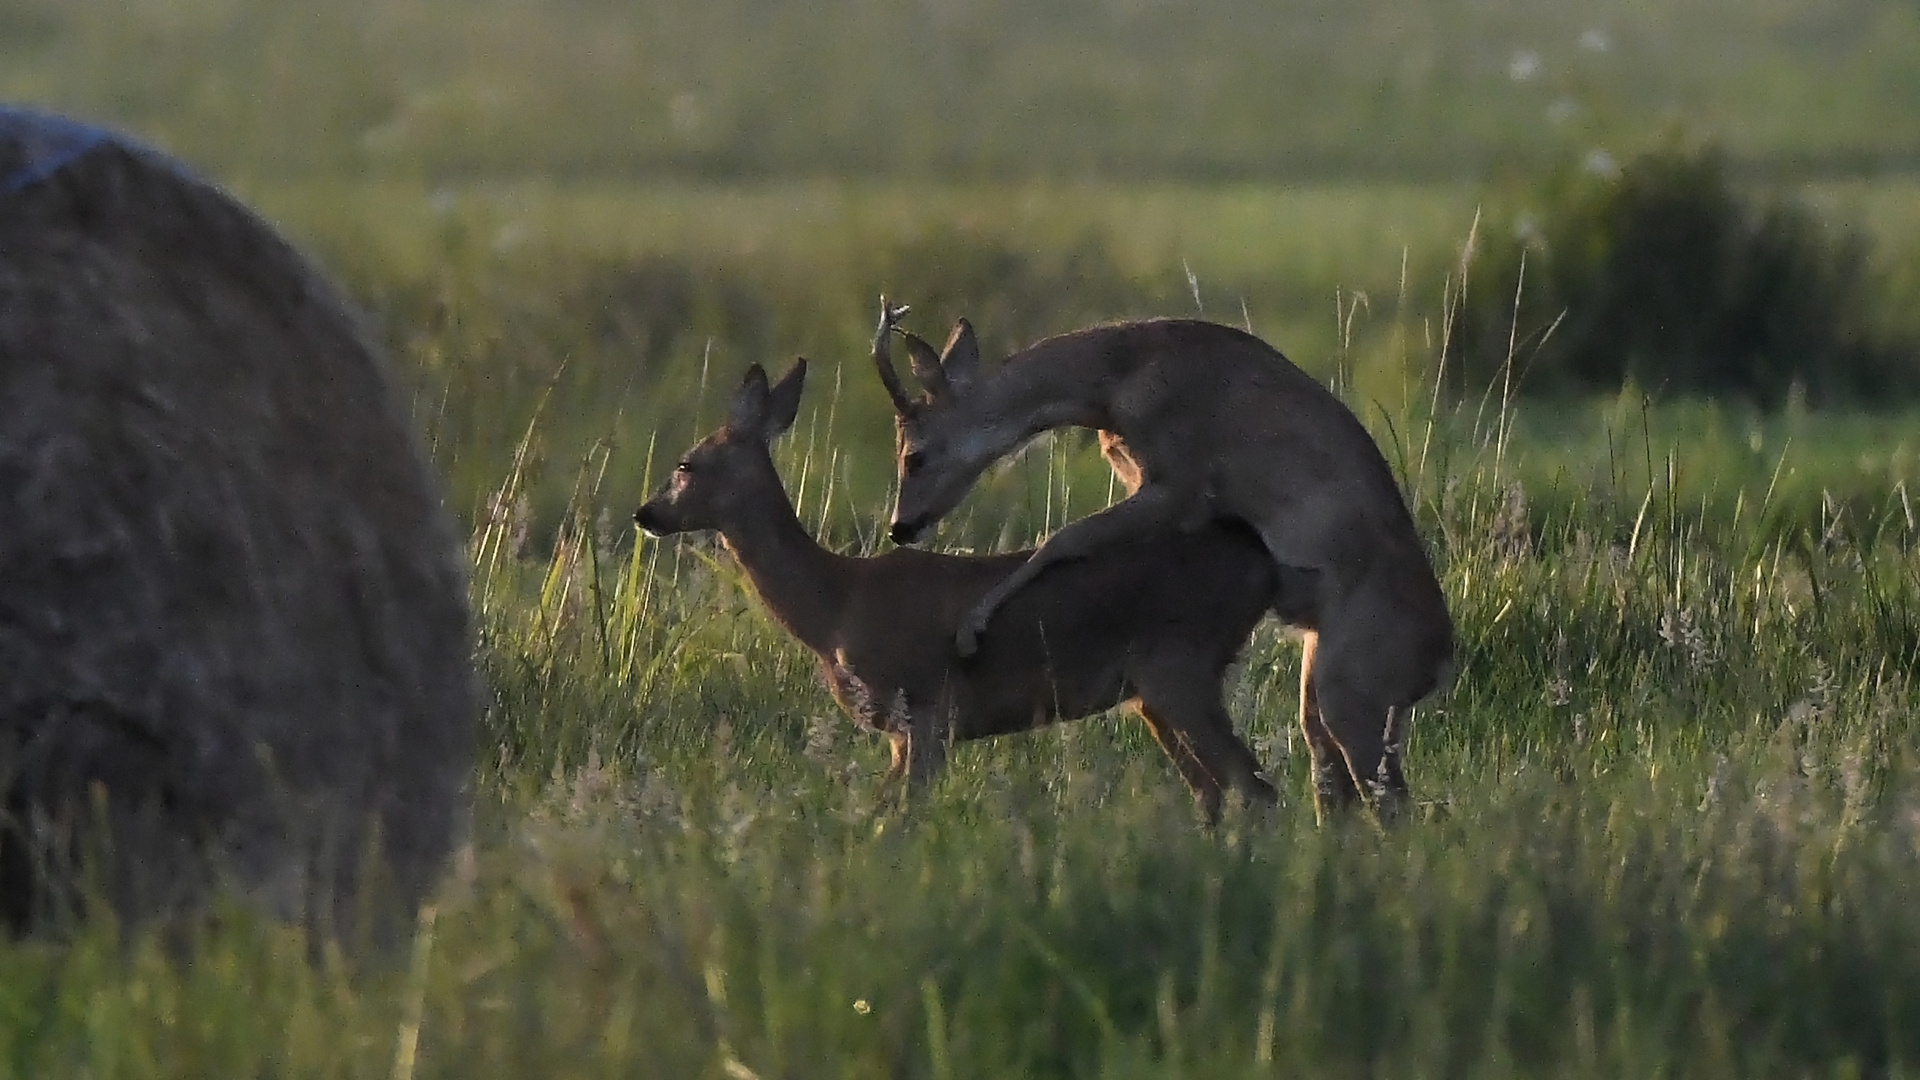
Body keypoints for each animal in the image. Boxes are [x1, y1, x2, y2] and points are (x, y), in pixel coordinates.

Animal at [637, 357, 1297, 818]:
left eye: (686, 464)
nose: (646, 514)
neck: (834, 605)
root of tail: (1260, 561)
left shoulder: (926, 710)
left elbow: (898, 816)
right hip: (1153, 692)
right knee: (1219, 792)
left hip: (1179, 665)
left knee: (1254, 791)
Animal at [875, 297, 1451, 818]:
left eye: (914, 455)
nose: (900, 527)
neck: (1115, 380)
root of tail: (1441, 663)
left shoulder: (1179, 482)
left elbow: (1066, 536)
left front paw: (972, 625)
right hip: (1328, 684)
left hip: (1350, 688)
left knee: (1389, 802)